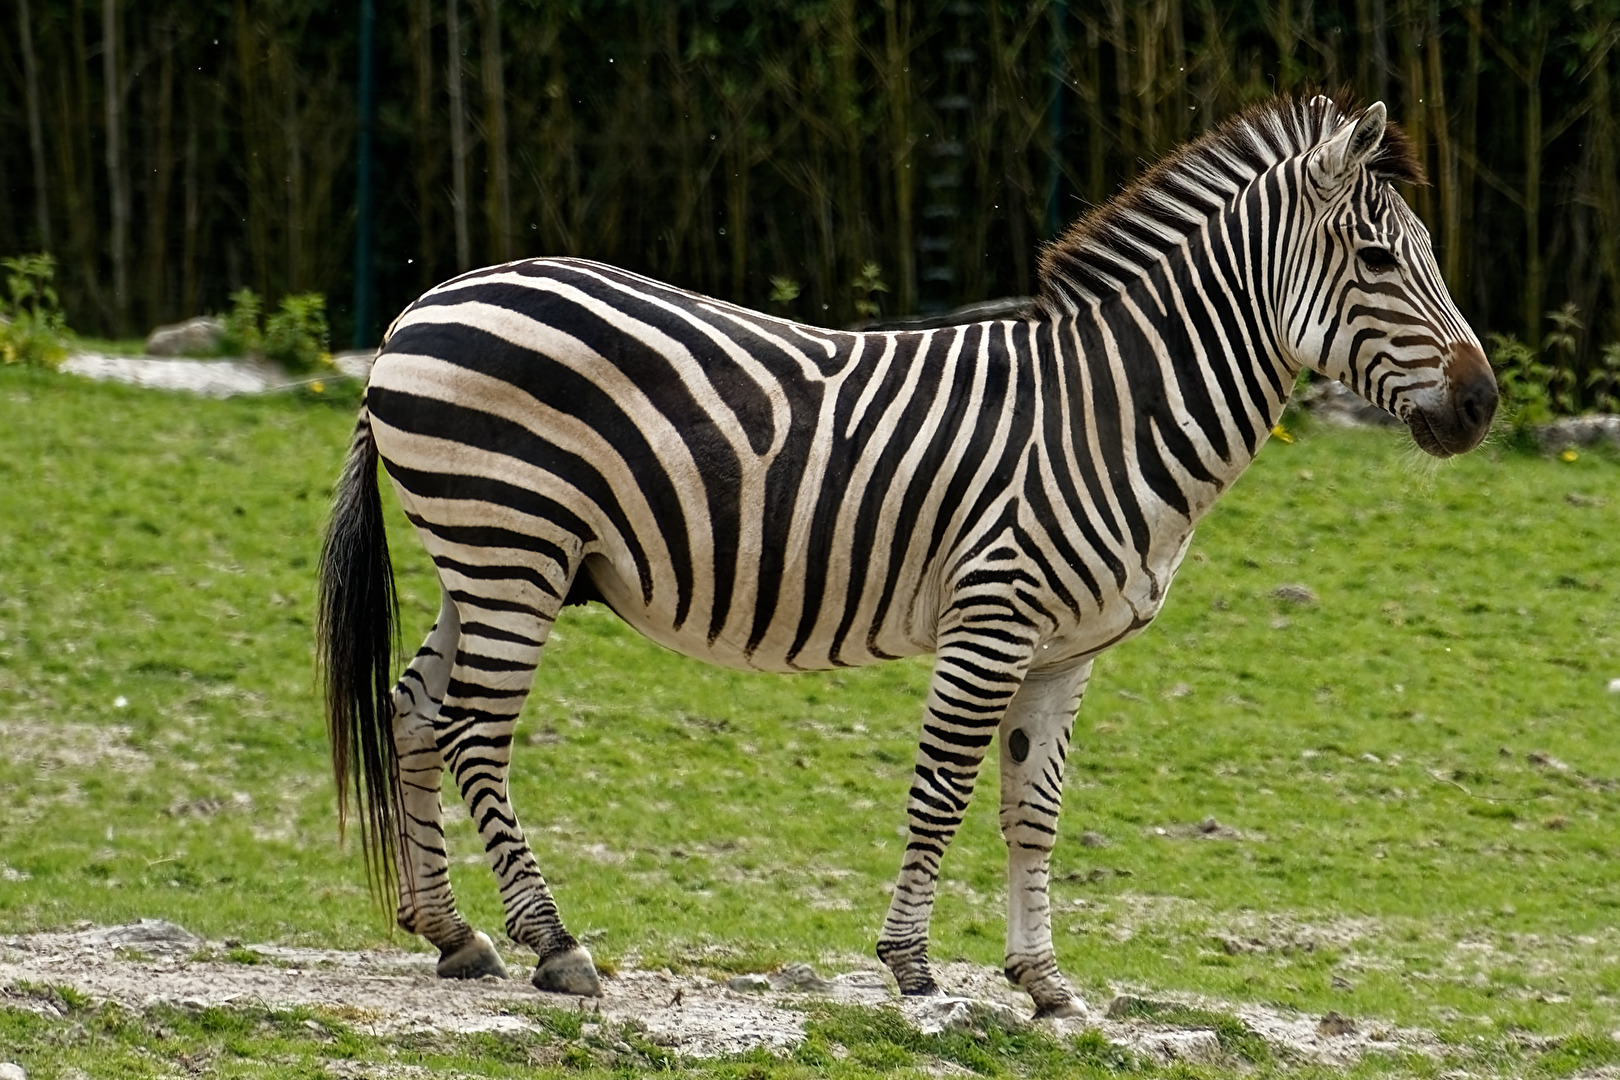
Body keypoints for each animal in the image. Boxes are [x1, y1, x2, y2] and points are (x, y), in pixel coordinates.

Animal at [319, 94, 1496, 1019]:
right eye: (1380, 260)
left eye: (1433, 257)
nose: (1484, 405)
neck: (1110, 415)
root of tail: (422, 306)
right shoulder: (993, 617)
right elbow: (941, 789)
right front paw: (913, 967)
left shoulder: (1068, 651)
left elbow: (1035, 812)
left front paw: (1046, 985)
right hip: (512, 544)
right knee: (473, 732)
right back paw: (556, 946)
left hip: (492, 558)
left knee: (415, 709)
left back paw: (453, 934)